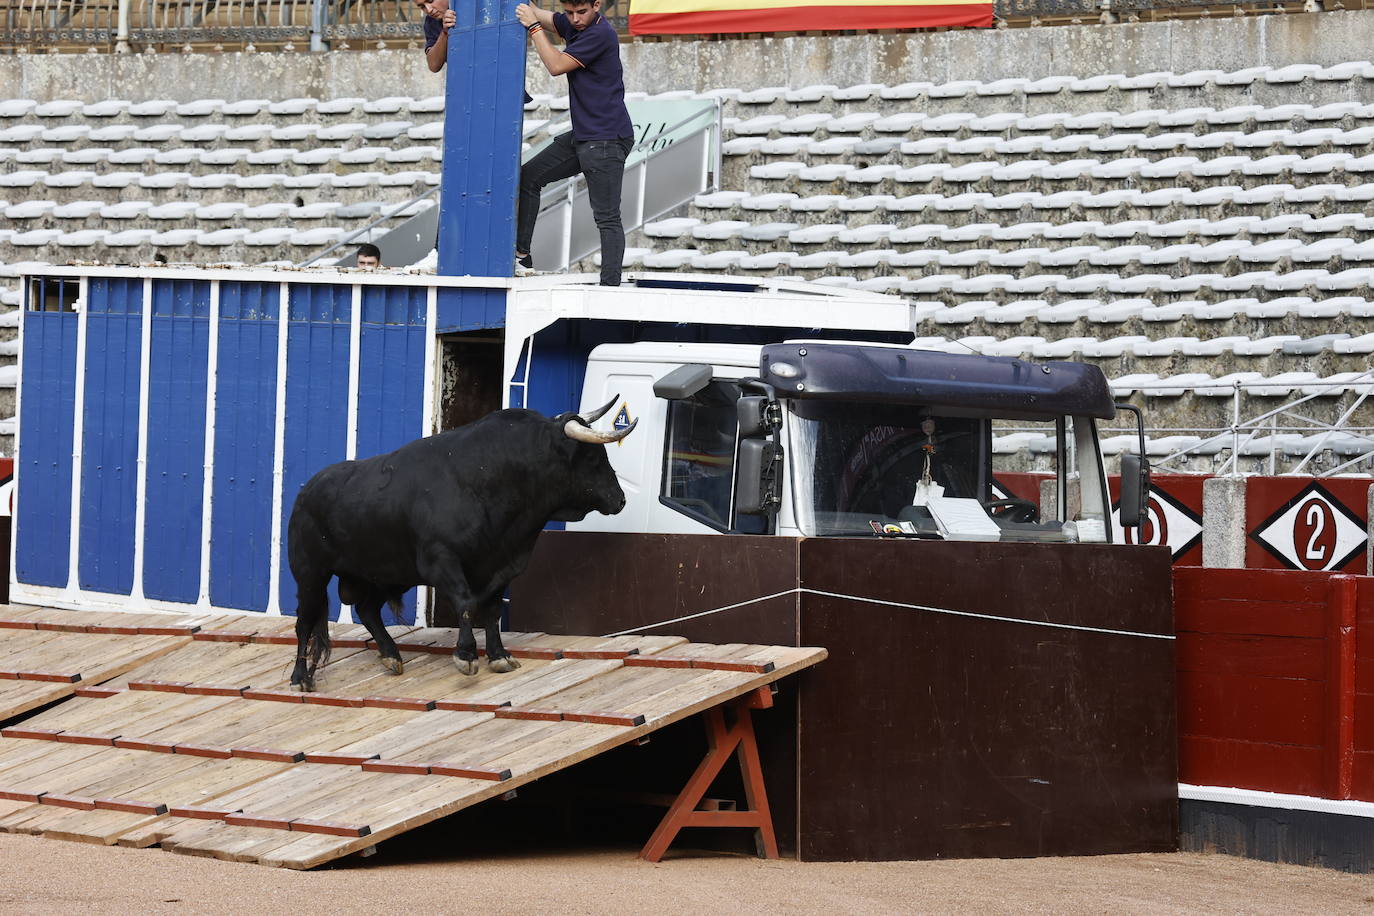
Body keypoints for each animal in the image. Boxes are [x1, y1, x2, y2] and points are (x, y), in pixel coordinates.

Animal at [288, 398, 637, 692]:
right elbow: (467, 603)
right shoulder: (442, 561)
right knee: (304, 622)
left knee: (367, 608)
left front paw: (499, 656)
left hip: (385, 574)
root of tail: (306, 491)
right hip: (310, 575)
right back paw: (300, 677)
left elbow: (492, 610)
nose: (620, 499)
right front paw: (466, 656)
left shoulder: (501, 566)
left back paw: (391, 655)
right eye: (592, 457)